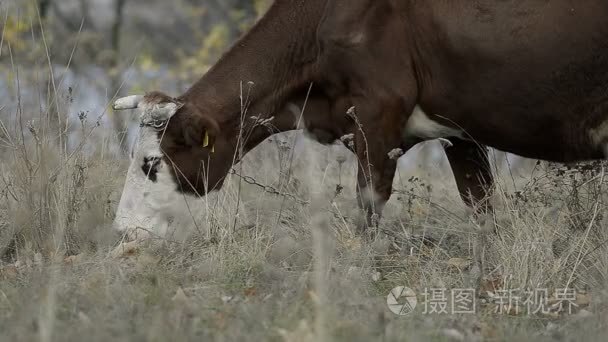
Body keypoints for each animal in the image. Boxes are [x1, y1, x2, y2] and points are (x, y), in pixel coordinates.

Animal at [111, 0, 608, 235]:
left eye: (151, 164)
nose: (123, 230)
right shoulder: (460, 129)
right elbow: (479, 203)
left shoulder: (377, 113)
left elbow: (369, 205)